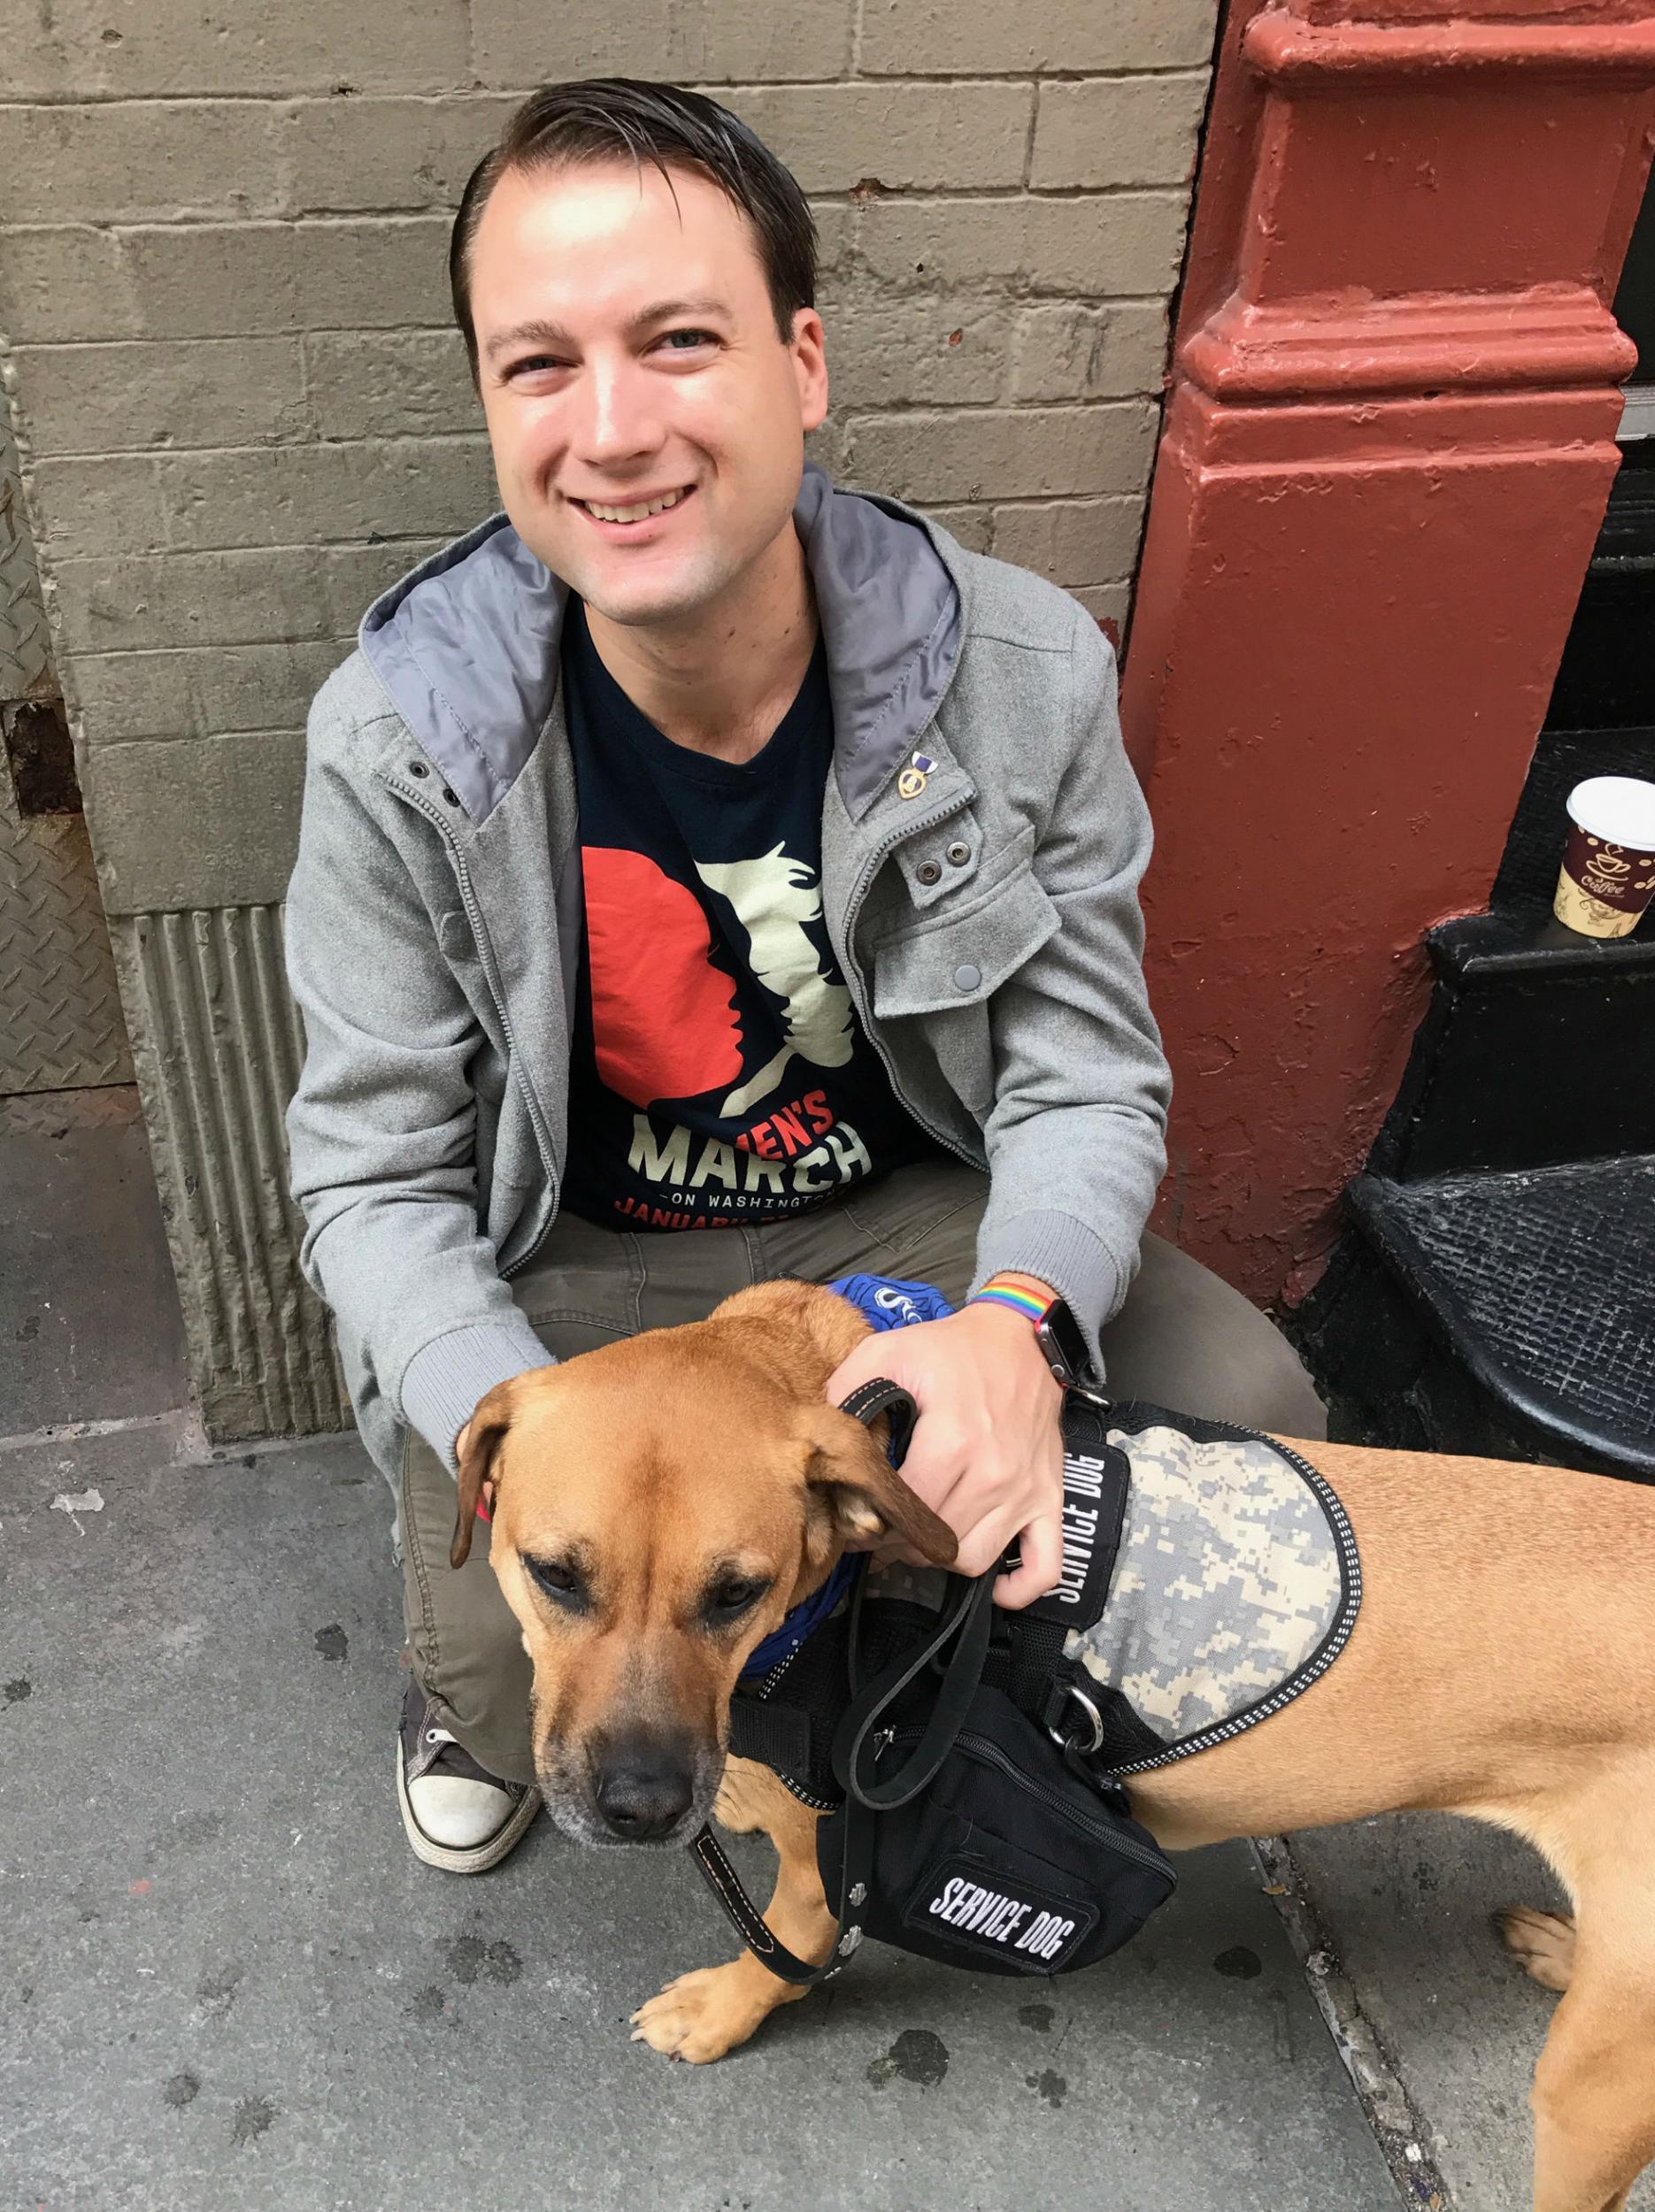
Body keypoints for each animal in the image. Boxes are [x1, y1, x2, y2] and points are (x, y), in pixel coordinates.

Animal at [447, 1283, 1655, 2212]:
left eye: (735, 1592)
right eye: (555, 1574)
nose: (643, 1806)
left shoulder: (824, 1874)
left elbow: (777, 1953)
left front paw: (721, 2012)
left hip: (1586, 2099)